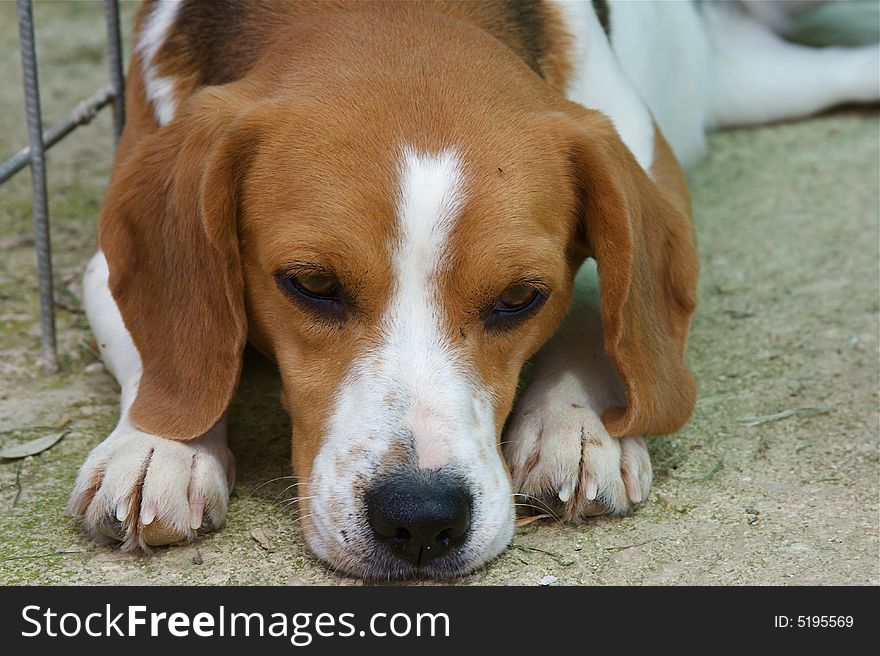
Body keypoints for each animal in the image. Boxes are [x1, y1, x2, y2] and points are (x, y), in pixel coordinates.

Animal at [70, 0, 880, 580]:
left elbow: (602, 295)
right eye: (312, 283)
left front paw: (574, 425)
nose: (422, 521)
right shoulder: (108, 260)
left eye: (520, 298)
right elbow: (165, 349)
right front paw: (159, 446)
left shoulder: (644, 171)